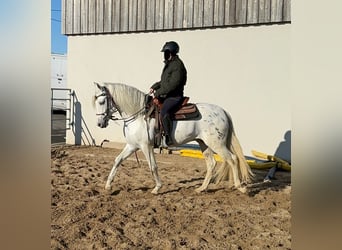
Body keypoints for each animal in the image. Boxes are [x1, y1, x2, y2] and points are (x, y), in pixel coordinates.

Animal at [93, 83, 254, 194]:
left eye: (101, 102)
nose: (100, 123)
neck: (139, 115)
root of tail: (222, 111)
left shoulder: (146, 146)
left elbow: (153, 166)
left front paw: (157, 188)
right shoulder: (132, 145)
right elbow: (117, 160)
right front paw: (108, 185)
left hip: (217, 144)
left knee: (233, 159)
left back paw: (240, 187)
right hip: (204, 143)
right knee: (211, 163)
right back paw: (201, 188)